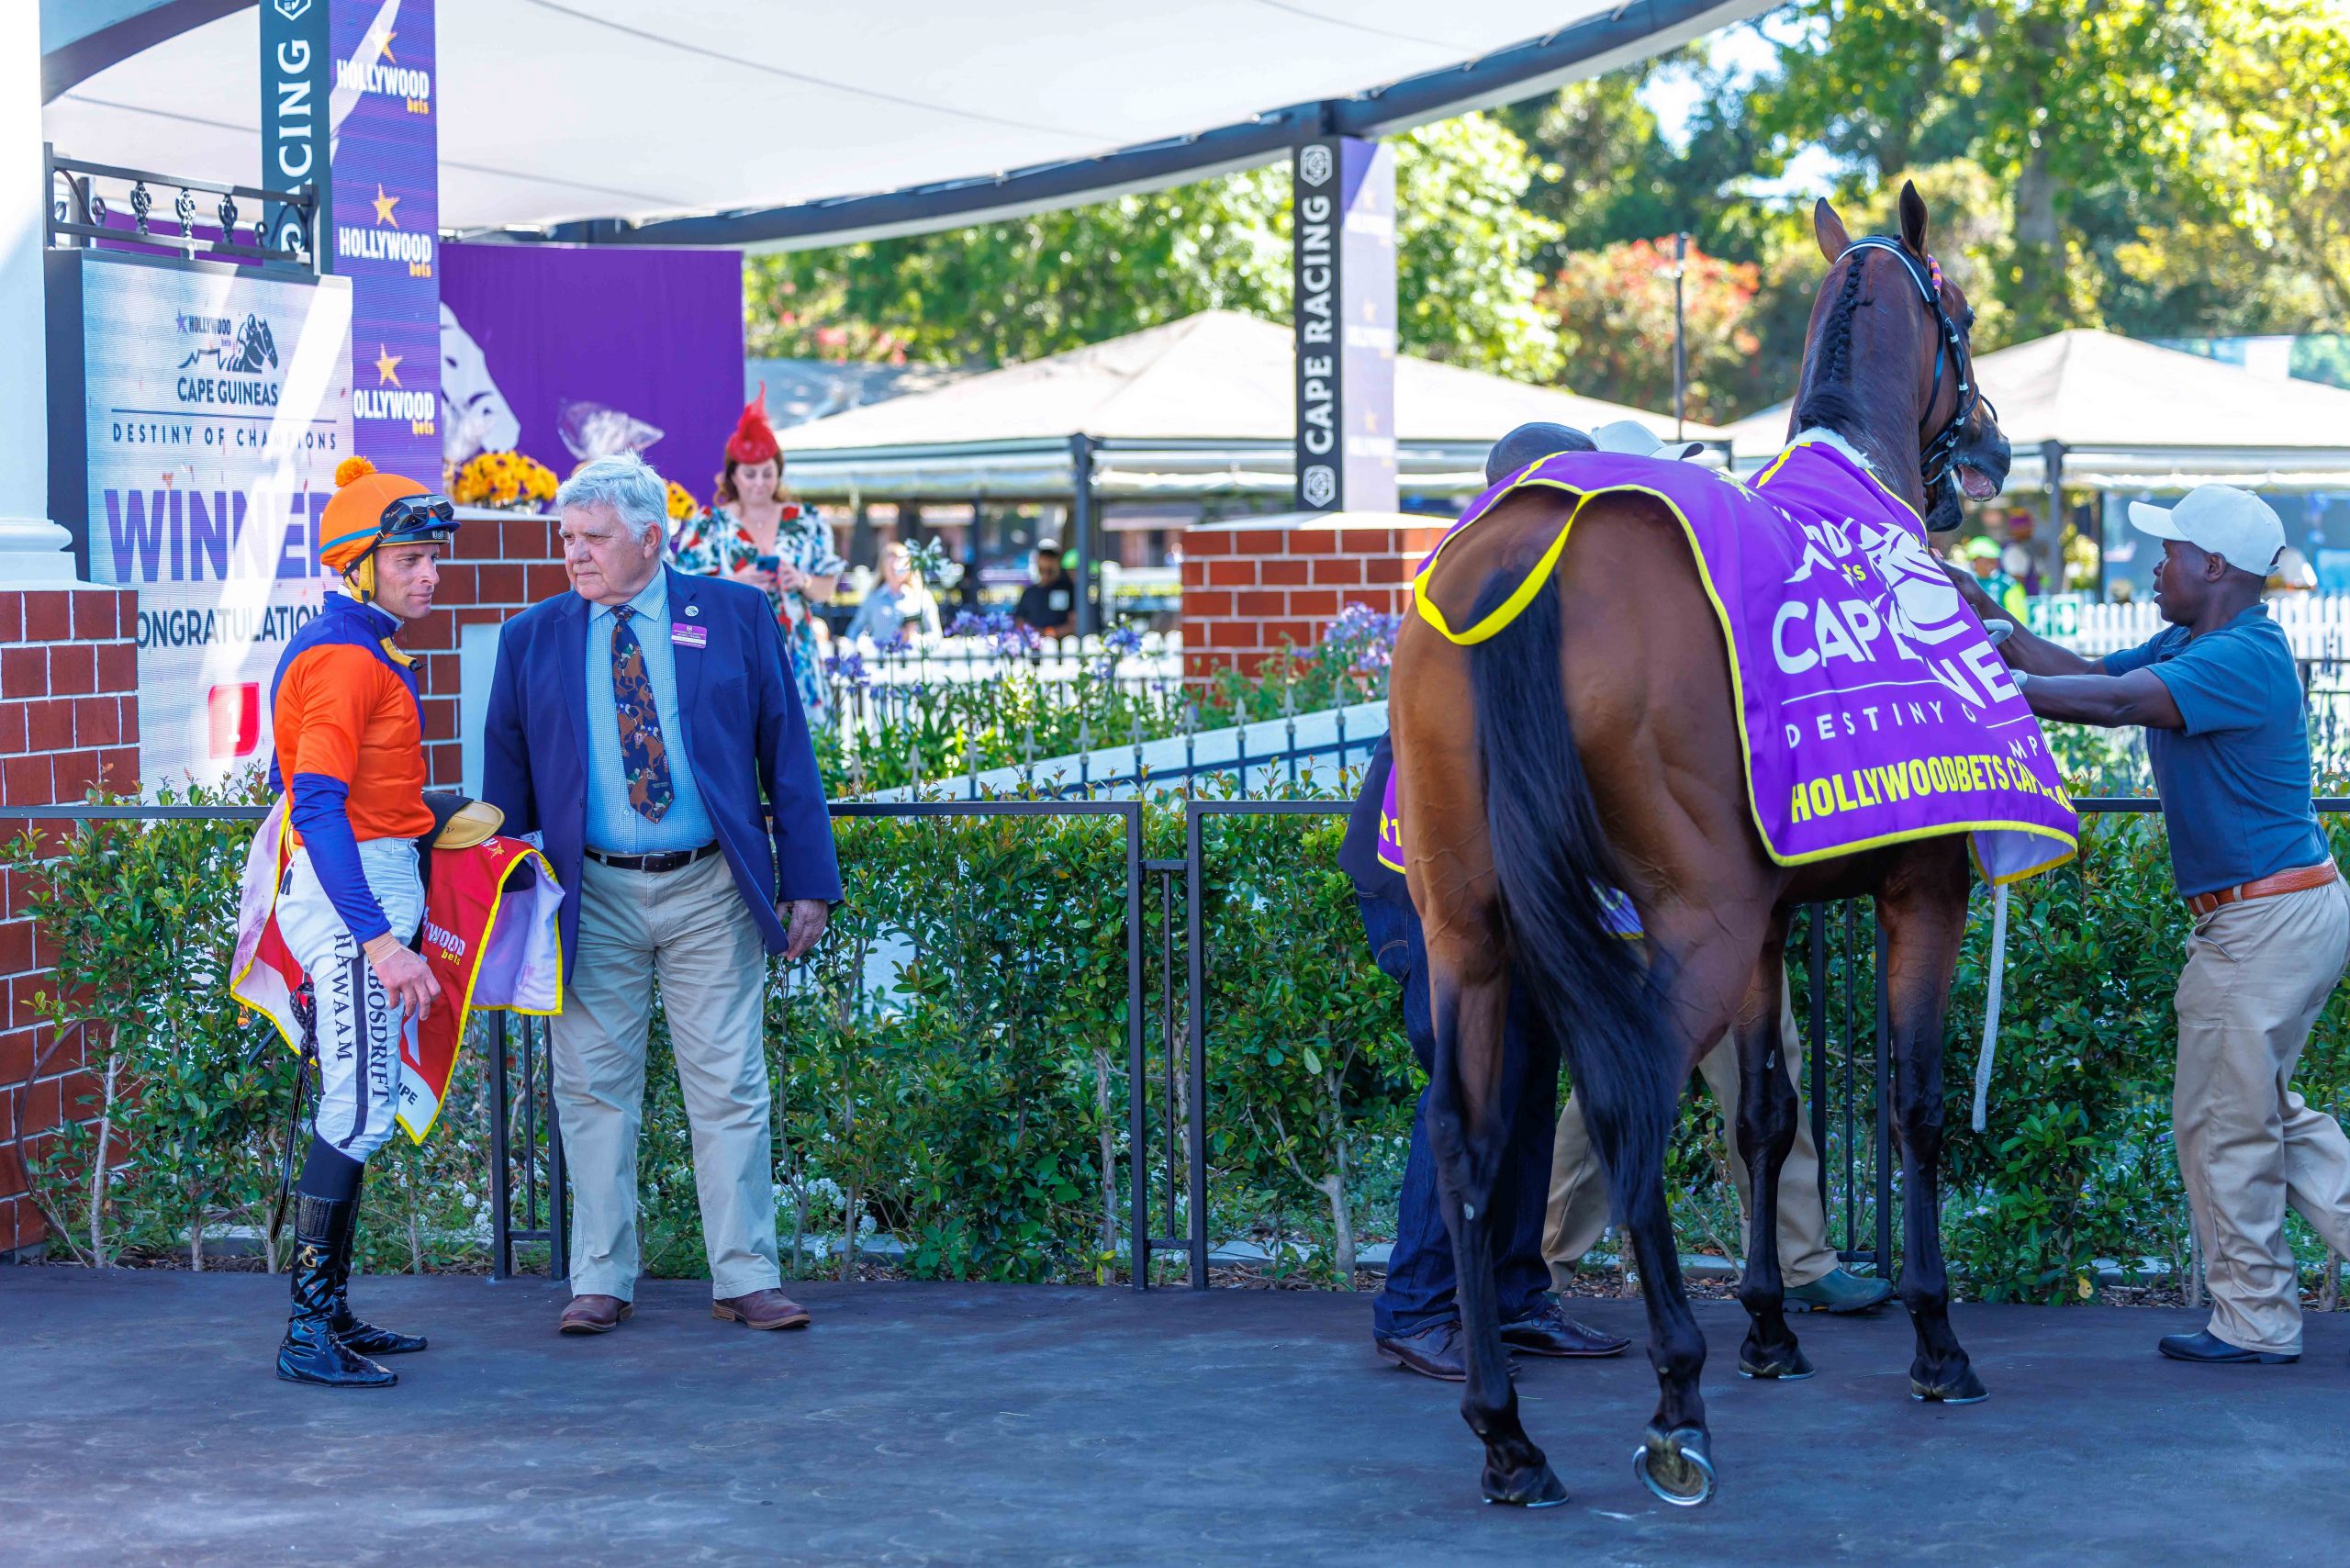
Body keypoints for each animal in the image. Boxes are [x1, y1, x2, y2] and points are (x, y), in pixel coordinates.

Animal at [1382, 185, 2011, 1504]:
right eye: (1965, 314)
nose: (1988, 445)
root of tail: (1520, 556)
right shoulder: (1917, 893)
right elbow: (1915, 1107)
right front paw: (1936, 1337)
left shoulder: (1769, 923)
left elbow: (1764, 1111)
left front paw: (1770, 1325)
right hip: (1692, 927)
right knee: (1627, 1104)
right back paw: (1677, 1392)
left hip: (1472, 929)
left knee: (1465, 1142)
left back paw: (1506, 1431)